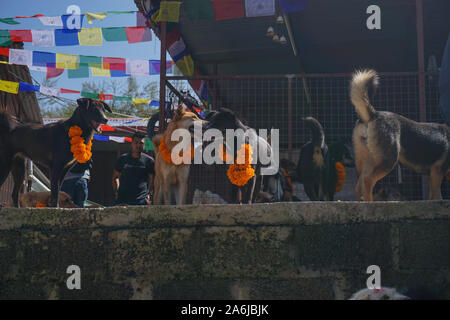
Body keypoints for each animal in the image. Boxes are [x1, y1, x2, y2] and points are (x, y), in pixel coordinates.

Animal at [352, 69, 450, 200]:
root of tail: (373, 114)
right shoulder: (437, 172)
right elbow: (437, 196)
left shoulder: (432, 175)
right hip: (389, 160)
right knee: (368, 180)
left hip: (368, 159)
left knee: (359, 186)